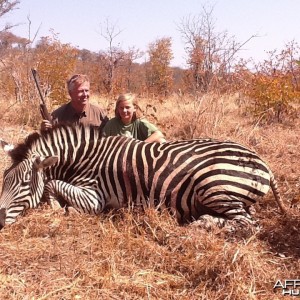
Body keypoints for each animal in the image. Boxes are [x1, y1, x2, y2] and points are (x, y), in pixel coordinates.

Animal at [0, 122, 286, 230]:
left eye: (24, 183)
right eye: (4, 180)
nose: (0, 220)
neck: (84, 158)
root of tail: (263, 163)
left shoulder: (95, 197)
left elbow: (51, 183)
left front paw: (59, 208)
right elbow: (52, 183)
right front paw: (59, 205)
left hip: (213, 185)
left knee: (249, 225)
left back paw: (201, 224)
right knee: (245, 218)